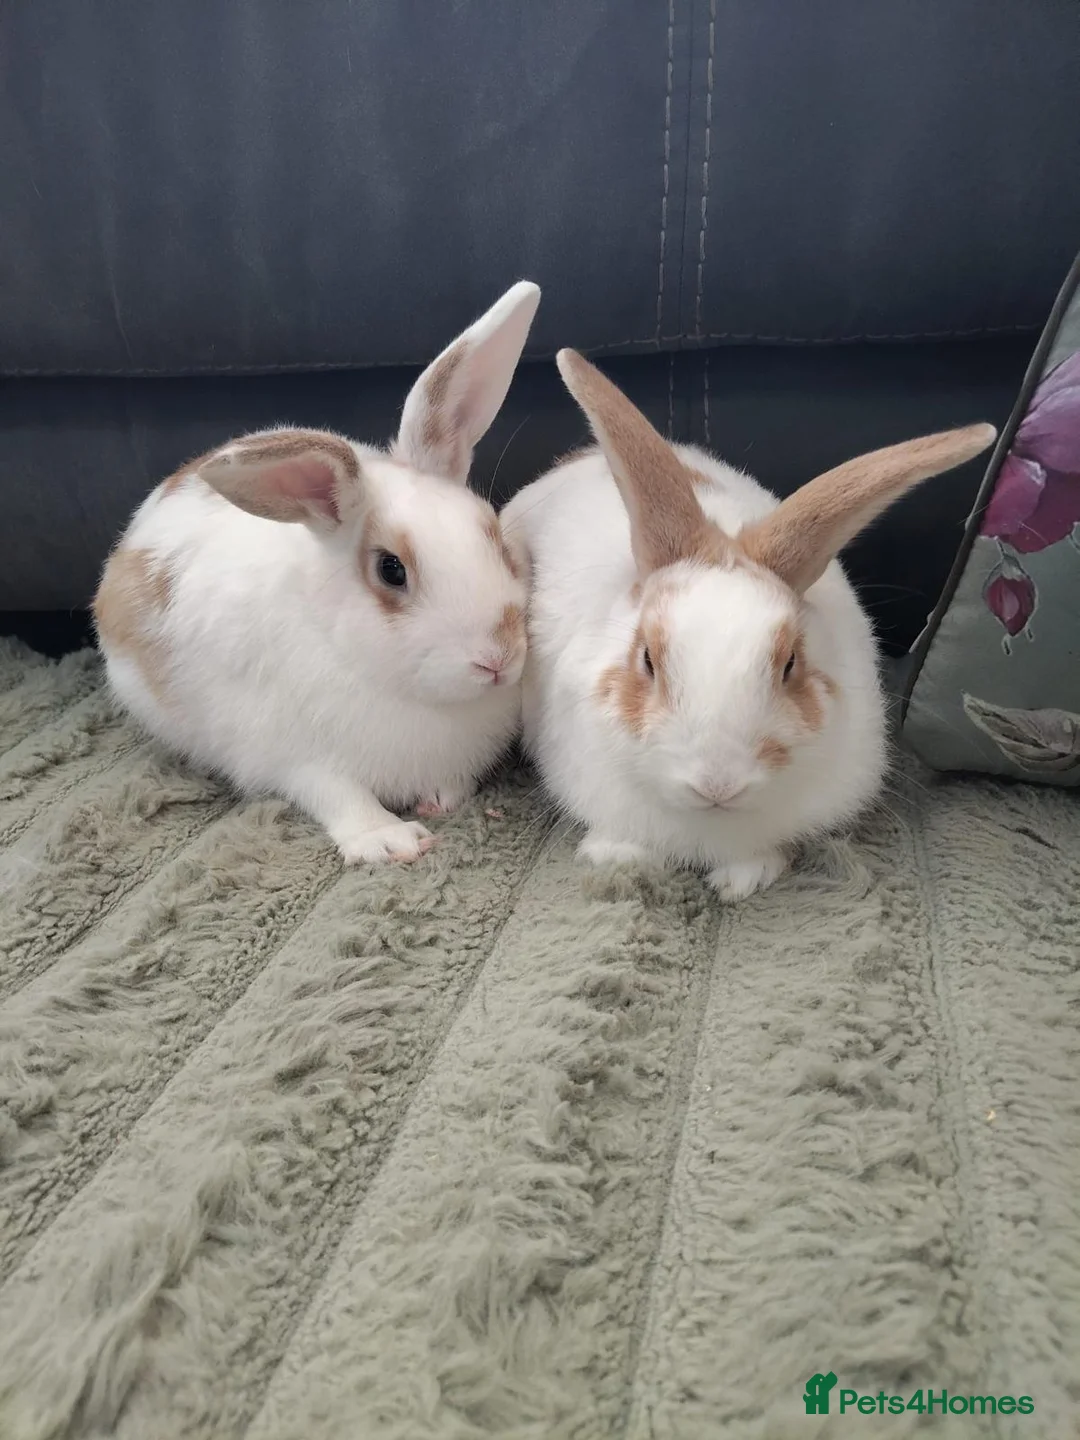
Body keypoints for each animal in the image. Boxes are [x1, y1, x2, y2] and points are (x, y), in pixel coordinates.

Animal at [94, 281, 540, 865]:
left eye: (492, 533)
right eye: (391, 570)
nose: (498, 657)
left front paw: (441, 799)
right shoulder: (293, 757)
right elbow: (337, 793)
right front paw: (390, 840)